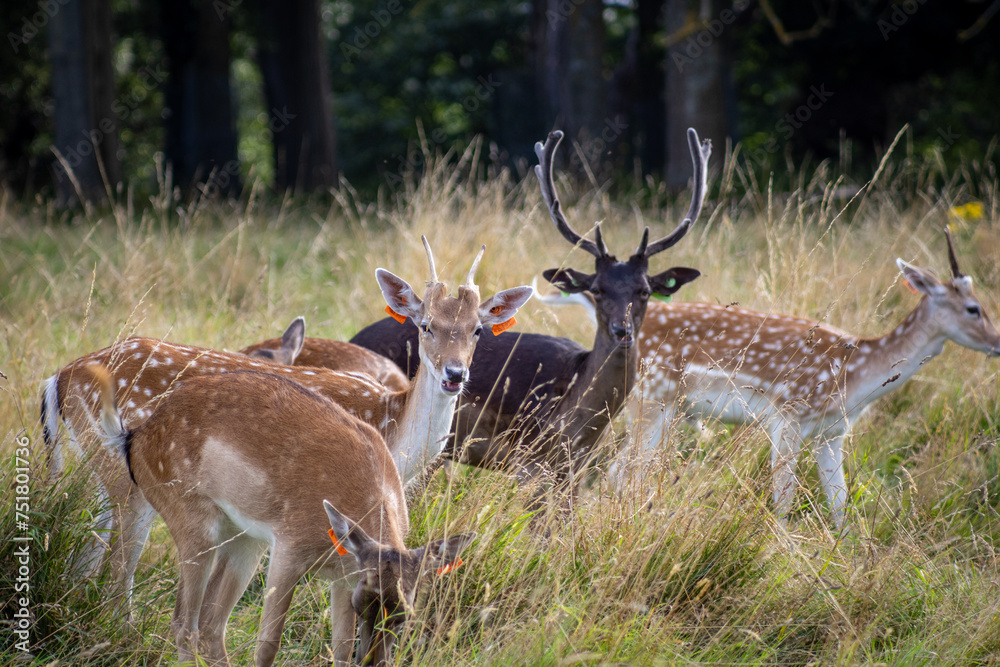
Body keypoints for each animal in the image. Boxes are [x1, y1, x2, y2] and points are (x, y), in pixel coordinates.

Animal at [87, 364, 474, 666]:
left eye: (407, 614)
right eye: (361, 605)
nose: (372, 662)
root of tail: (133, 438)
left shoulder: (343, 575)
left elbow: (339, 650)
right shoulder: (290, 547)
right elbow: (268, 645)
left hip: (246, 540)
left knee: (211, 624)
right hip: (192, 520)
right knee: (185, 622)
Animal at [350, 128, 709, 499]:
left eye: (645, 291)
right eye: (597, 290)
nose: (621, 330)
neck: (577, 416)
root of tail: (353, 336)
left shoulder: (575, 470)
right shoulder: (528, 460)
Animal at [542, 229, 1000, 528]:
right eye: (974, 308)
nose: (997, 342)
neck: (855, 375)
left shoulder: (833, 433)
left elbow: (840, 507)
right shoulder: (788, 415)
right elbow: (784, 499)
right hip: (651, 403)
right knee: (618, 472)